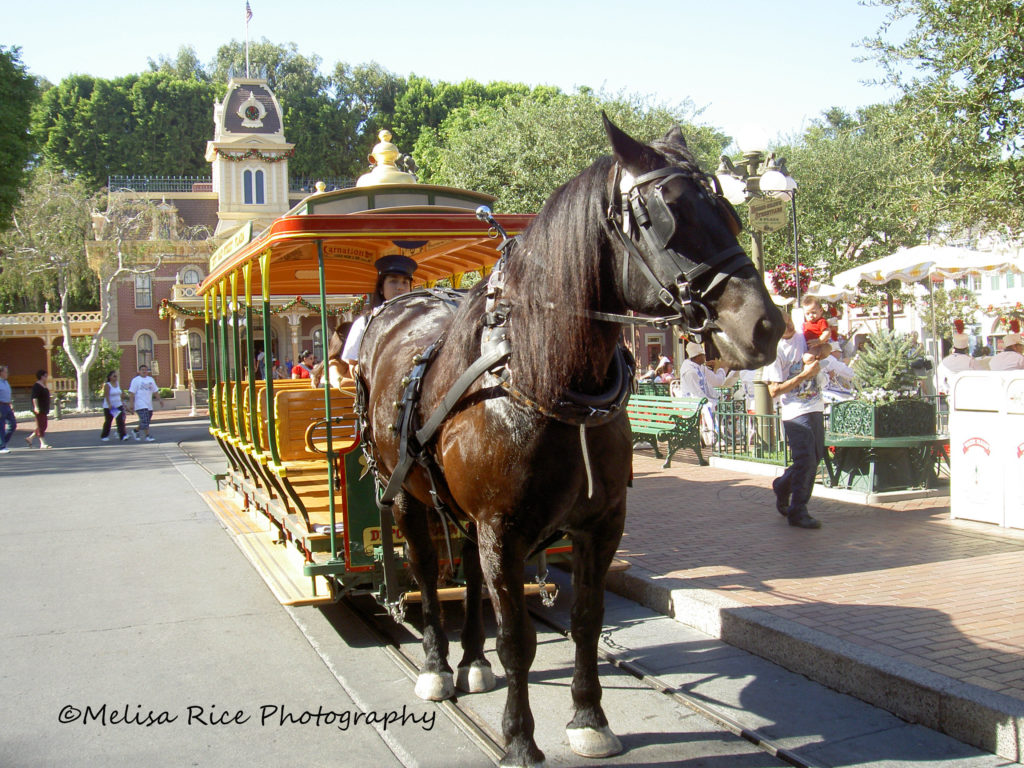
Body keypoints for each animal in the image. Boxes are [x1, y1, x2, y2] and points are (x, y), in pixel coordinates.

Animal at [356, 115, 778, 768]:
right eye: (668, 216)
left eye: (729, 213)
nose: (766, 326)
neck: (543, 382)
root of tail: (401, 302)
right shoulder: (502, 528)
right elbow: (518, 639)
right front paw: (518, 739)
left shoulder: (599, 522)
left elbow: (585, 620)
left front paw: (588, 719)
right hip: (403, 493)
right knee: (426, 572)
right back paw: (437, 668)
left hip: (465, 513)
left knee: (468, 575)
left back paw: (471, 661)